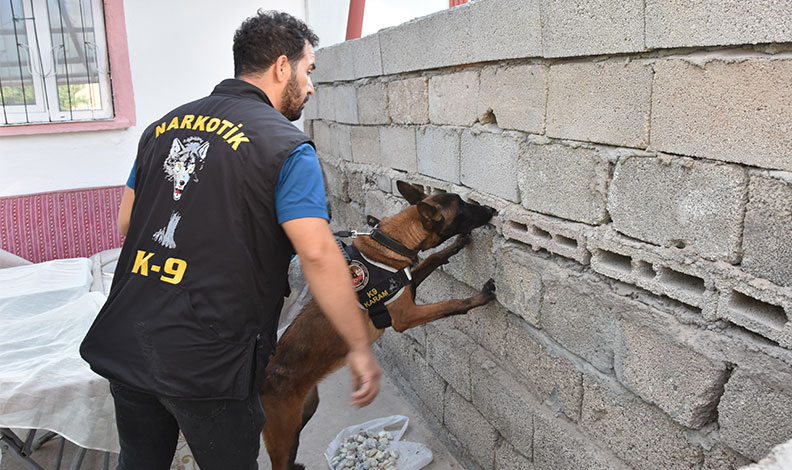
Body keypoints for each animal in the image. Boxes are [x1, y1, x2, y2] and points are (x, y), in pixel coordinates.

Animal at [260, 181, 498, 469]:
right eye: (462, 207)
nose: (492, 210)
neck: (394, 241)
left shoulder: (406, 286)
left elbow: (431, 259)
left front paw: (455, 245)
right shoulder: (406, 316)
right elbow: (449, 303)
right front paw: (479, 297)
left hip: (306, 409)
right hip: (283, 434)